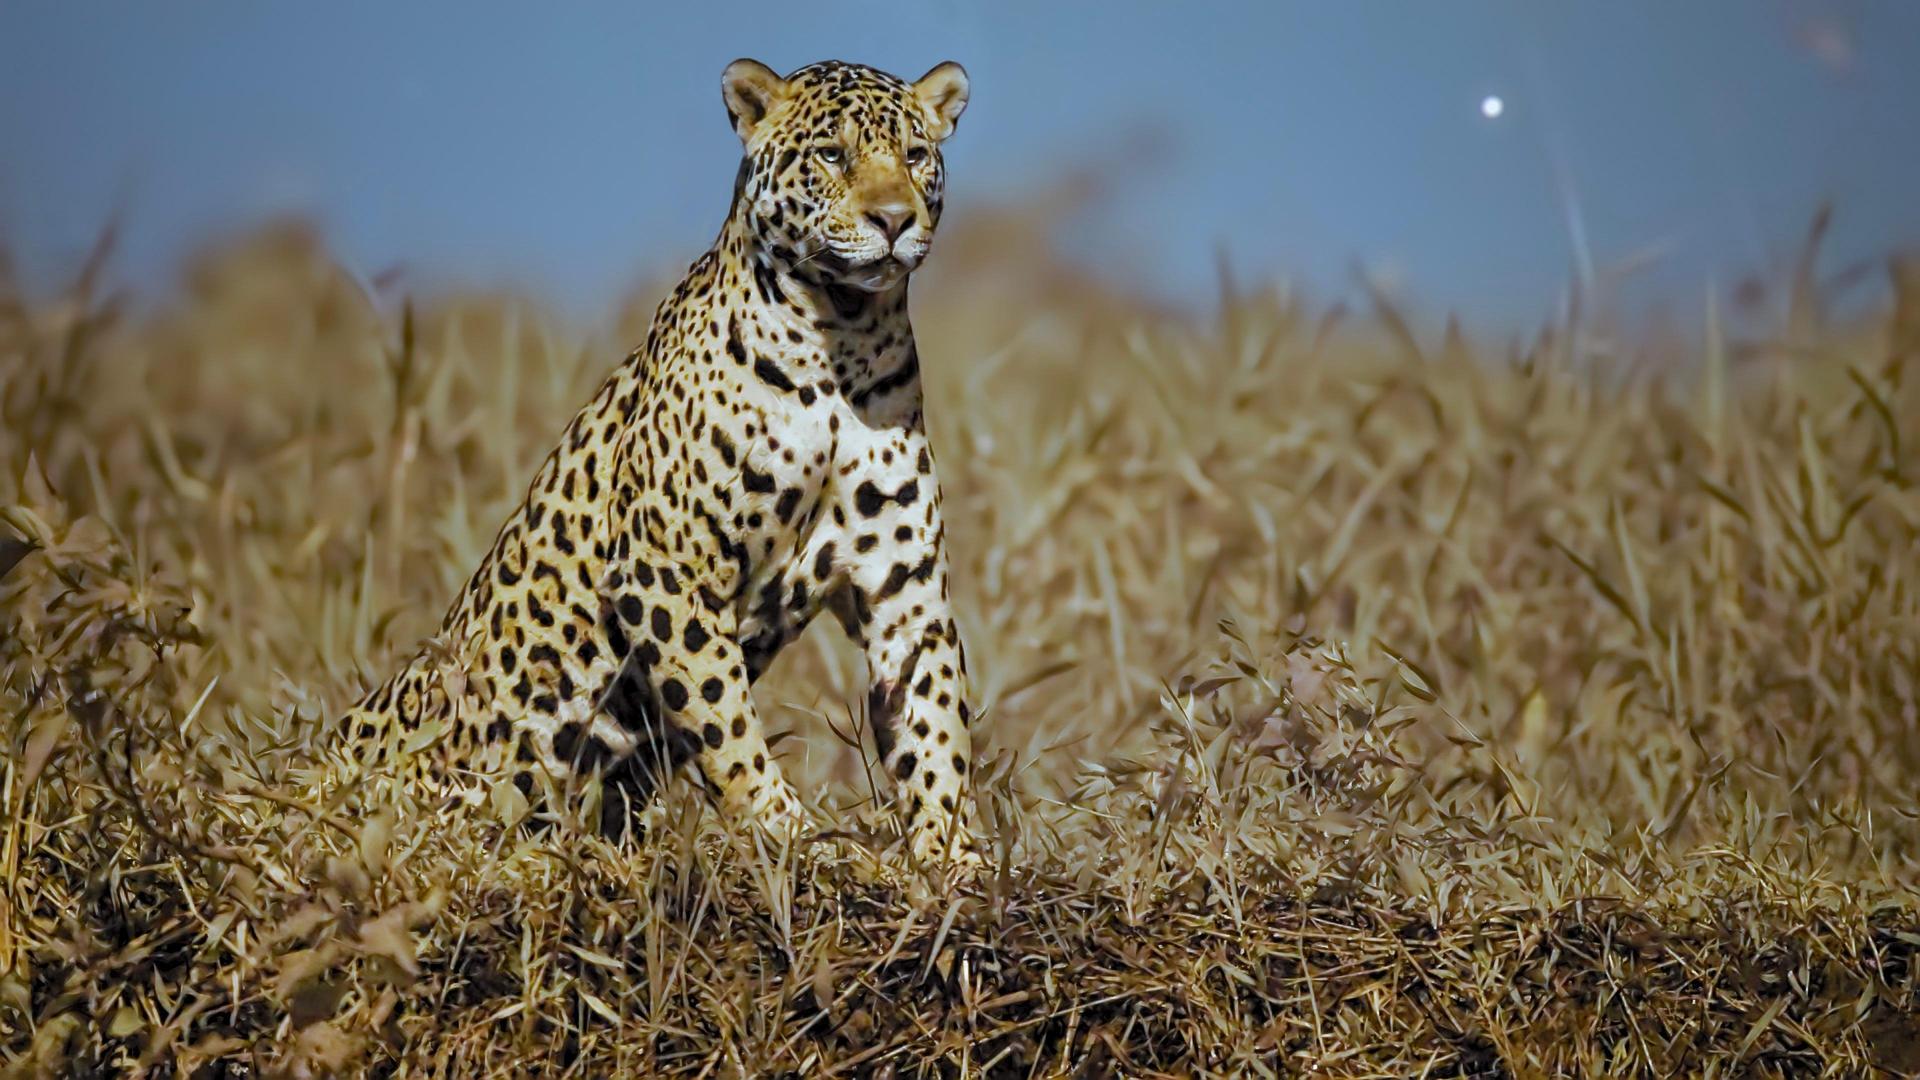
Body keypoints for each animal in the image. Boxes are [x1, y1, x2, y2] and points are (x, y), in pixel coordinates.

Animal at [337, 58, 980, 866]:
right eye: (833, 155)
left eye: (916, 155)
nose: (894, 220)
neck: (845, 338)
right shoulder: (666, 568)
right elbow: (726, 724)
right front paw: (793, 840)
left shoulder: (904, 591)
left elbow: (937, 732)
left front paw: (957, 860)